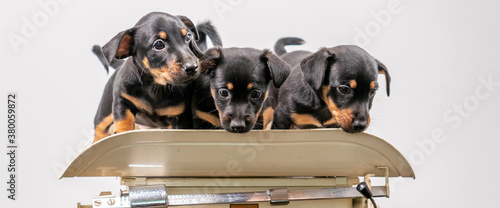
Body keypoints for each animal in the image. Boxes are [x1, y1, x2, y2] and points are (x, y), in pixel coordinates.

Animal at [90, 11, 223, 143]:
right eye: (159, 44)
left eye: (188, 37)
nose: (192, 67)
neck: (156, 86)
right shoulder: (122, 100)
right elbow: (124, 119)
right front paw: (122, 132)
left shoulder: (180, 118)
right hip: (103, 113)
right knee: (100, 129)